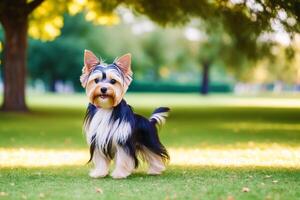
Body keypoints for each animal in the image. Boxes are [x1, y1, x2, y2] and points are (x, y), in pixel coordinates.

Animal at [79, 50, 170, 179]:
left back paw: (156, 170)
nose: (103, 89)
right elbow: (101, 159)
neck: (106, 108)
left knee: (155, 154)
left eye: (113, 81)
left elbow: (123, 158)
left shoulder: (122, 140)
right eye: (96, 80)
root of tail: (149, 121)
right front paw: (99, 173)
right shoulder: (98, 139)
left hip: (148, 140)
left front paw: (119, 174)